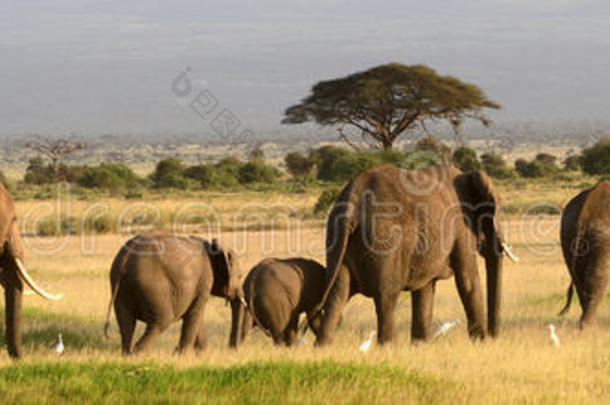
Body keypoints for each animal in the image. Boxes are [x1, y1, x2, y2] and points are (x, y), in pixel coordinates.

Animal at [104, 230, 245, 354]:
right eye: (240, 276)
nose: (233, 350)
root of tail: (124, 259)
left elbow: (195, 316)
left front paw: (201, 354)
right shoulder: (205, 280)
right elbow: (195, 313)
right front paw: (181, 355)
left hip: (120, 286)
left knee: (126, 324)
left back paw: (127, 354)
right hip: (153, 286)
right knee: (162, 320)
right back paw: (137, 354)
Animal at [308, 163, 512, 346]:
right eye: (493, 214)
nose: (494, 337)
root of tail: (352, 202)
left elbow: (425, 289)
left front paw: (420, 346)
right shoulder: (461, 226)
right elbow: (468, 281)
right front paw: (481, 344)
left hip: (336, 238)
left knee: (337, 296)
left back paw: (323, 347)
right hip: (385, 240)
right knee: (386, 297)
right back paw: (388, 348)